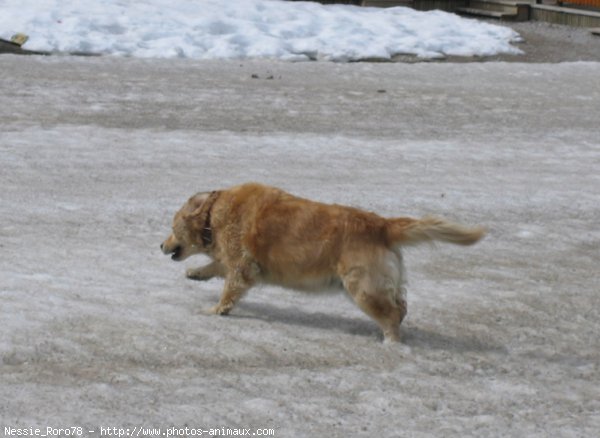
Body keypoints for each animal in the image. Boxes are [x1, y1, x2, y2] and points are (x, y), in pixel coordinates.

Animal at [162, 181, 486, 342]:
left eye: (172, 226)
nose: (160, 245)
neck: (213, 213)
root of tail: (382, 225)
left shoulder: (242, 266)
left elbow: (229, 288)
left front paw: (216, 310)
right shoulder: (237, 262)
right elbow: (217, 266)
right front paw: (196, 272)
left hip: (362, 287)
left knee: (392, 314)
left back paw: (390, 343)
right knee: (402, 305)